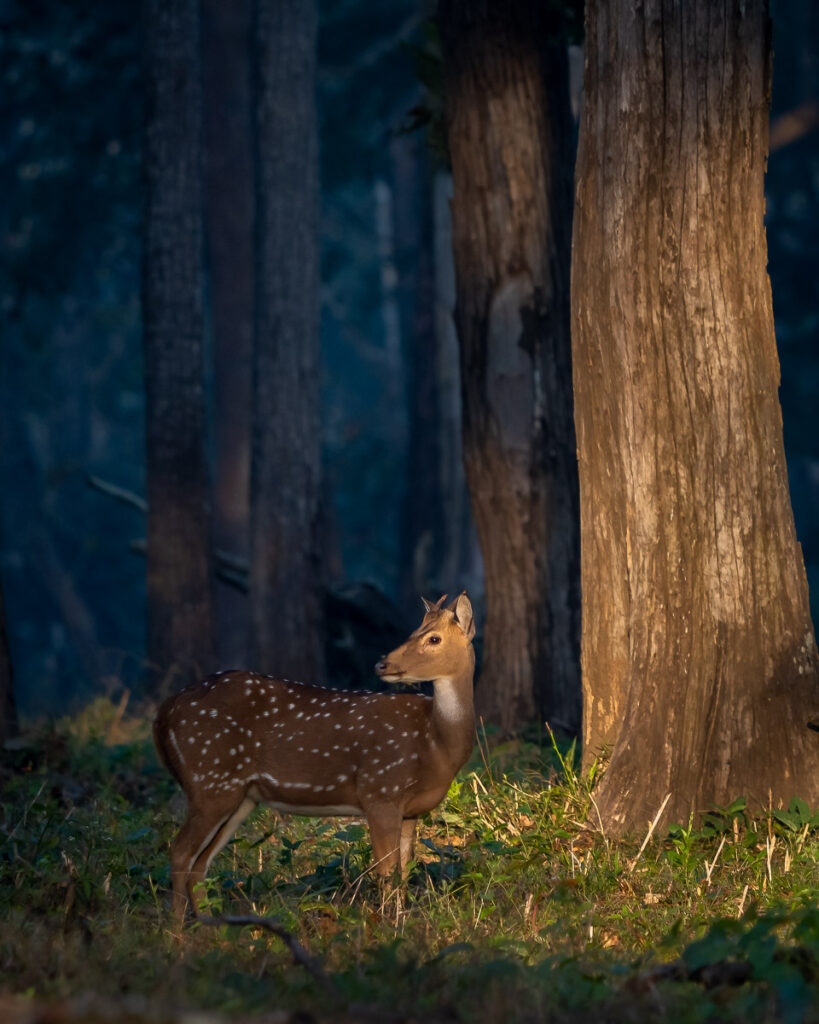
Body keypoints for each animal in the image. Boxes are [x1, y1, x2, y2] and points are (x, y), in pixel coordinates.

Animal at [153, 592, 476, 922]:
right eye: (413, 632)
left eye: (434, 638)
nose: (381, 664)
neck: (435, 745)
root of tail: (165, 710)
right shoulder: (379, 790)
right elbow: (387, 873)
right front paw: (386, 924)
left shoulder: (410, 810)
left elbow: (404, 871)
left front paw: (401, 921)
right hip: (210, 780)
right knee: (180, 853)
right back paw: (178, 930)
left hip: (240, 796)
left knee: (199, 864)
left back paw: (208, 926)